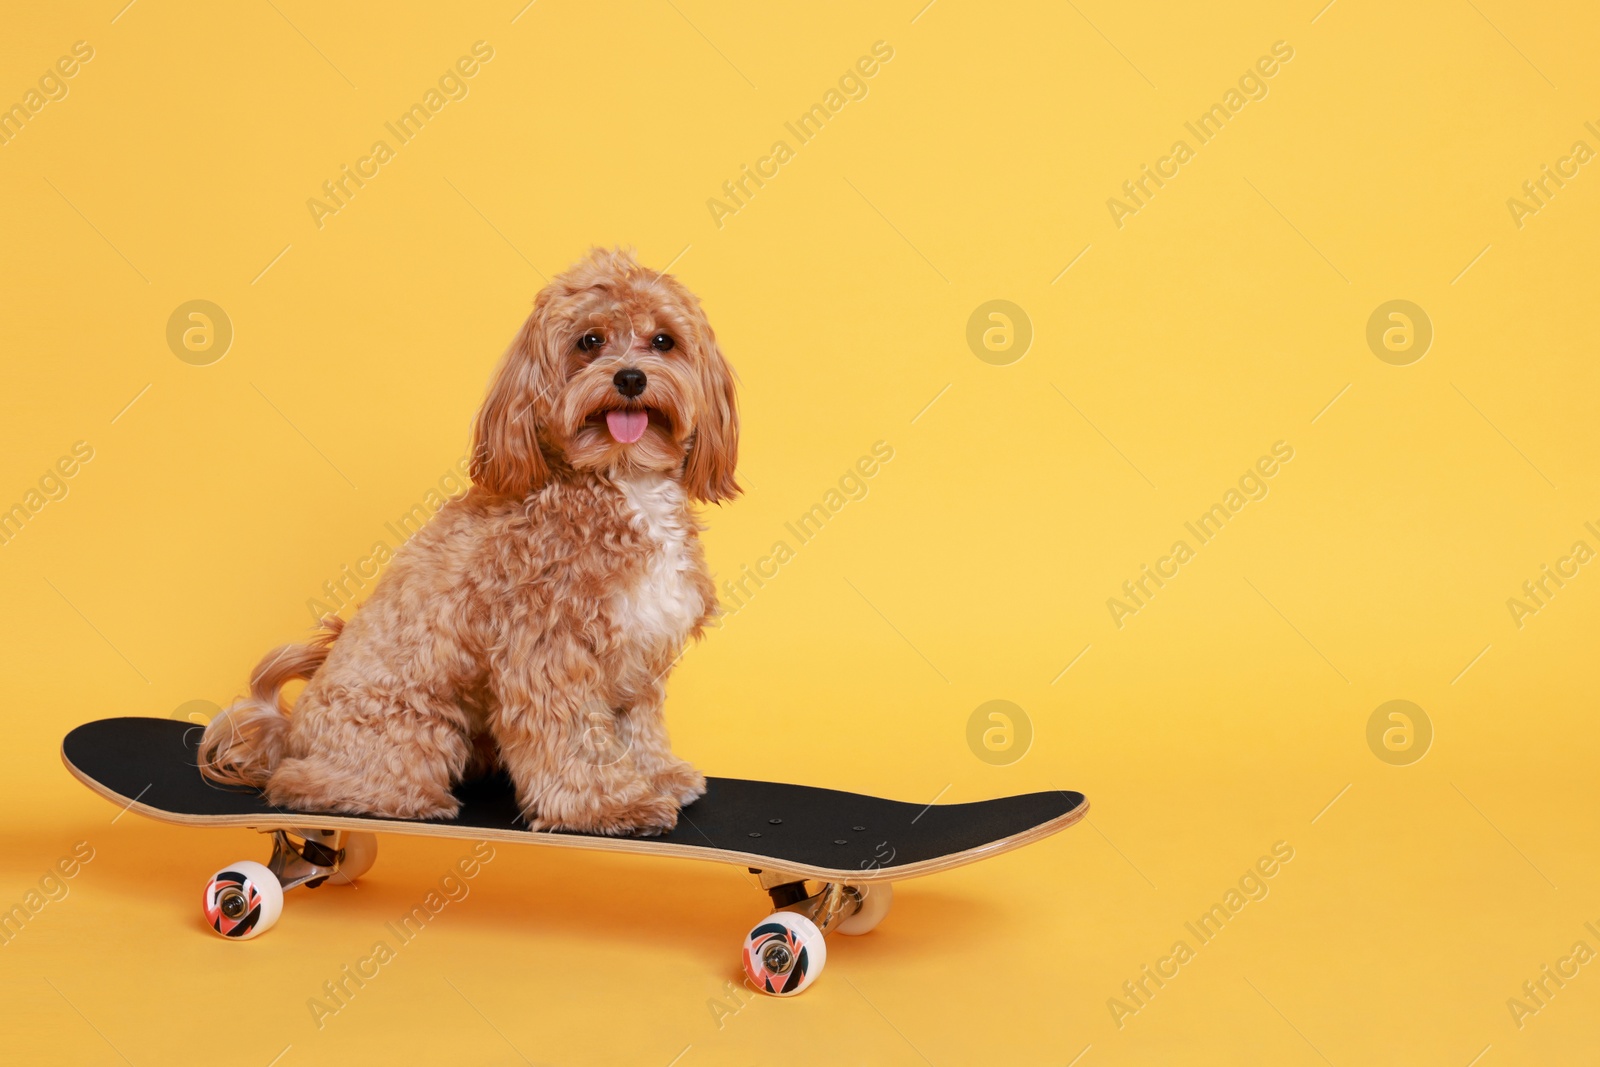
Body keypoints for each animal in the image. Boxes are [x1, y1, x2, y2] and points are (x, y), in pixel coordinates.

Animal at [201, 247, 742, 831]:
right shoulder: (546, 650)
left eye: (664, 340)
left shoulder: (641, 652)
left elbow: (637, 727)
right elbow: (576, 738)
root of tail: (288, 732)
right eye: (589, 341)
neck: (621, 481)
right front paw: (609, 805)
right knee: (305, 783)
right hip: (411, 727)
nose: (631, 378)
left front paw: (657, 777)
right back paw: (404, 799)